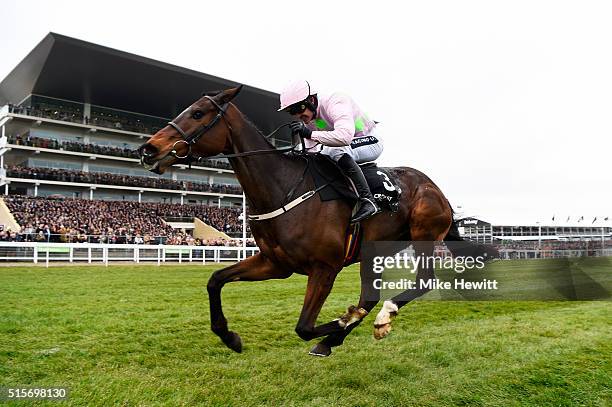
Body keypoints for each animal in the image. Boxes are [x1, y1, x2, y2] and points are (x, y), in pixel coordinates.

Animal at [139, 86, 482, 356]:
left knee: (422, 280)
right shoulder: (275, 264)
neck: (283, 189)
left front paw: (345, 319)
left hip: (424, 233)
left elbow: (304, 326)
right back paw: (339, 337)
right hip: (375, 250)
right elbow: (215, 280)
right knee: (370, 296)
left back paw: (381, 318)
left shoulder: (325, 267)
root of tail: (437, 190)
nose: (148, 149)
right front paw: (229, 336)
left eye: (197, 113)